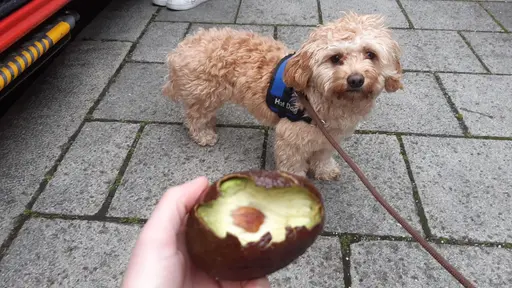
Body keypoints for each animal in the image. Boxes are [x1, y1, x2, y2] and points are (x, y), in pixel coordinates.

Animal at [164, 13, 404, 181]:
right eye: (335, 58)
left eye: (370, 54)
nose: (355, 80)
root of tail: (182, 46)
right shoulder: (291, 139)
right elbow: (293, 166)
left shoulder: (329, 138)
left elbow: (322, 156)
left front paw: (325, 171)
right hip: (205, 94)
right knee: (194, 117)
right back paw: (204, 135)